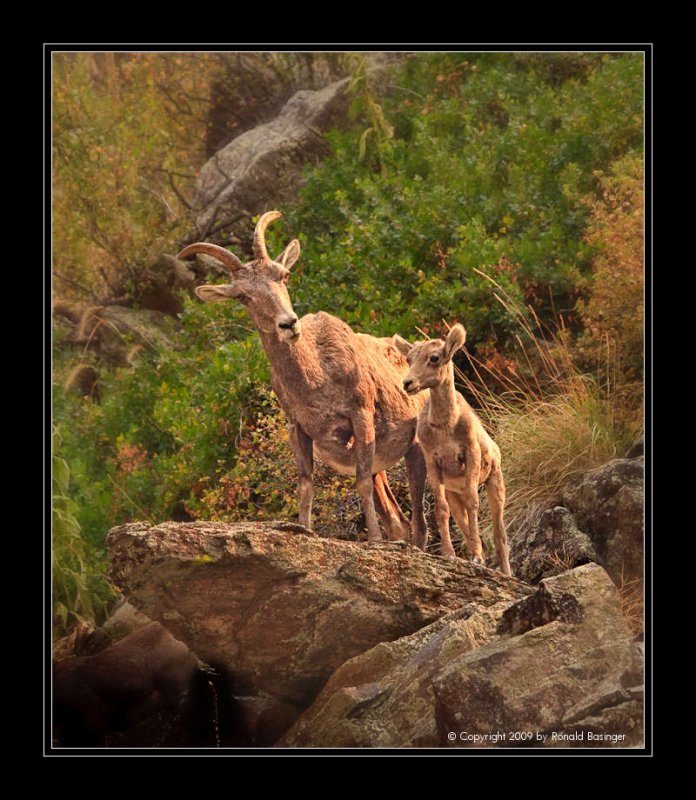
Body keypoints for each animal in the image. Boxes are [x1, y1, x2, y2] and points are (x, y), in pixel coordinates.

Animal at [178, 209, 430, 548]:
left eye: (283, 275)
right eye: (243, 296)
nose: (288, 324)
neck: (318, 377)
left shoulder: (361, 415)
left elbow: (361, 482)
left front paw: (373, 541)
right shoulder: (299, 429)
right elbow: (306, 486)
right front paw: (304, 531)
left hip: (417, 449)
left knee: (421, 521)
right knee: (399, 520)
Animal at [396, 324, 512, 576]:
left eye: (434, 358)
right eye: (409, 358)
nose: (408, 383)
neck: (446, 426)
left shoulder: (470, 455)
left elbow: (473, 502)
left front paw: (476, 557)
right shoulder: (433, 463)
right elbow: (441, 508)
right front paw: (450, 554)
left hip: (495, 483)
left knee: (500, 536)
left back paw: (506, 572)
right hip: (454, 492)